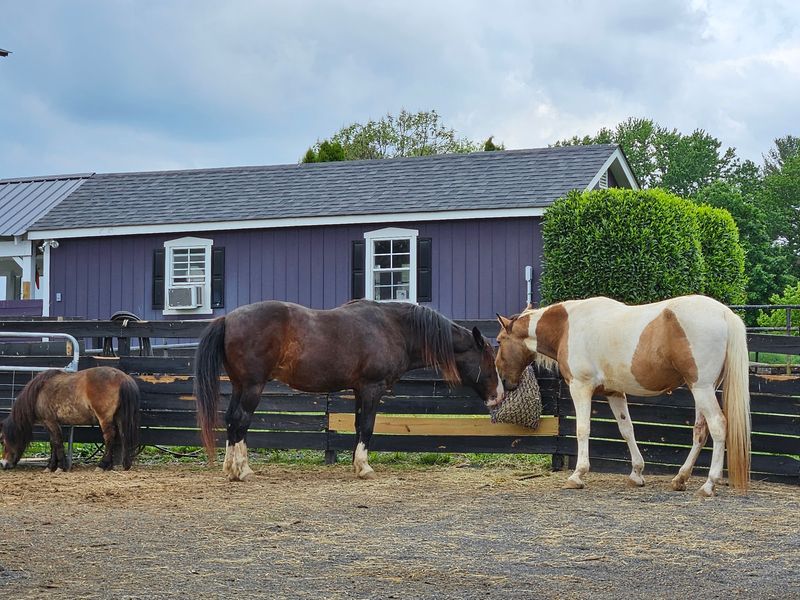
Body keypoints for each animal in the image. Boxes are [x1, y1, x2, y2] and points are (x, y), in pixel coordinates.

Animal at [1, 366, 141, 472]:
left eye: (2, 441)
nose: (4, 464)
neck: (39, 392)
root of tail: (123, 377)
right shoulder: (51, 423)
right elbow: (53, 443)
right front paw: (51, 466)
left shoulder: (50, 422)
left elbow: (57, 442)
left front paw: (60, 467)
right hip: (119, 417)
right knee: (123, 435)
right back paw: (122, 465)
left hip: (104, 418)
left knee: (109, 438)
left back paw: (102, 465)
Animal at [194, 299, 502, 481]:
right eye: (489, 360)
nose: (498, 395)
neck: (392, 327)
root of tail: (228, 319)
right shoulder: (371, 388)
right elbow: (366, 426)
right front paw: (364, 467)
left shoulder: (358, 389)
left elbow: (357, 426)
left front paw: (357, 464)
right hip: (252, 387)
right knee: (241, 421)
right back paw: (243, 470)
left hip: (239, 385)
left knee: (231, 420)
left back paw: (230, 468)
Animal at [494, 295, 751, 497]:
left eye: (498, 341)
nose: (504, 382)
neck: (567, 326)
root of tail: (725, 314)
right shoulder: (614, 392)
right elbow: (627, 429)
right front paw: (636, 473)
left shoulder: (580, 387)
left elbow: (582, 429)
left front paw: (577, 475)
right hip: (702, 389)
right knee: (700, 431)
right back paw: (680, 478)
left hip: (703, 388)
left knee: (718, 426)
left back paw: (709, 485)